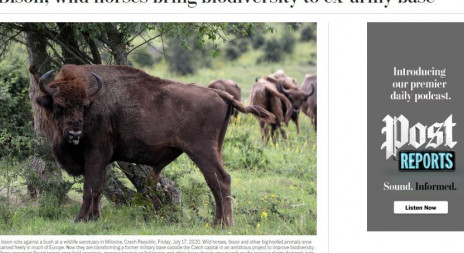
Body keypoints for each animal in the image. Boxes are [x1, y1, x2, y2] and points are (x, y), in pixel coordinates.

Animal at [35, 64, 276, 226]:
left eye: (84, 106)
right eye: (58, 106)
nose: (74, 132)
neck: (94, 101)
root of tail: (216, 92)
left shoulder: (95, 155)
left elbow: (90, 188)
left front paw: (80, 218)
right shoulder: (101, 161)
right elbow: (98, 187)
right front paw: (94, 218)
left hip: (201, 150)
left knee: (220, 180)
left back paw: (224, 224)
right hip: (215, 147)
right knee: (216, 182)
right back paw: (218, 223)